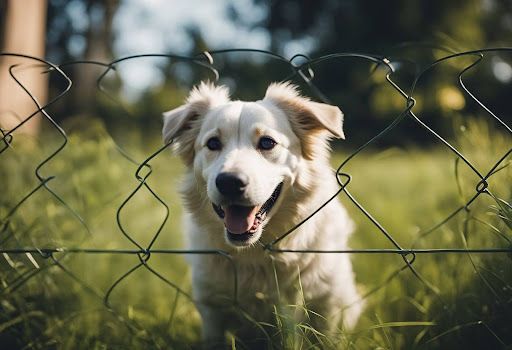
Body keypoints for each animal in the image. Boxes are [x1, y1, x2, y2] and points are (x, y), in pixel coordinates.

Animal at [162, 82, 362, 348]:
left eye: (267, 143)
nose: (229, 182)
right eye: (213, 144)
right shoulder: (211, 307)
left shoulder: (327, 304)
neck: (254, 253)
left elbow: (324, 338)